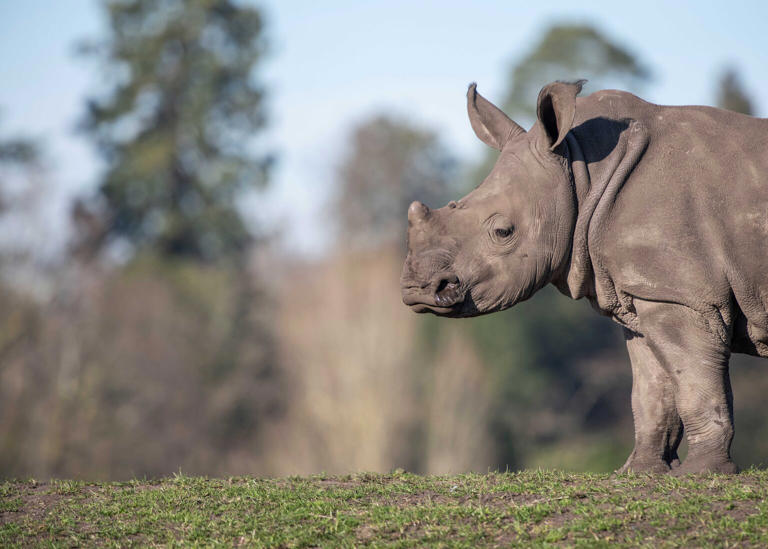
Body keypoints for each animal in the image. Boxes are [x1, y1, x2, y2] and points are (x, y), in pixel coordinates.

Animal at [402, 79, 768, 474]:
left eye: (503, 231)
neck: (582, 174)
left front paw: (701, 473)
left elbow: (696, 381)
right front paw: (639, 473)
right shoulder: (647, 292)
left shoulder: (682, 295)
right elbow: (652, 390)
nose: (419, 290)